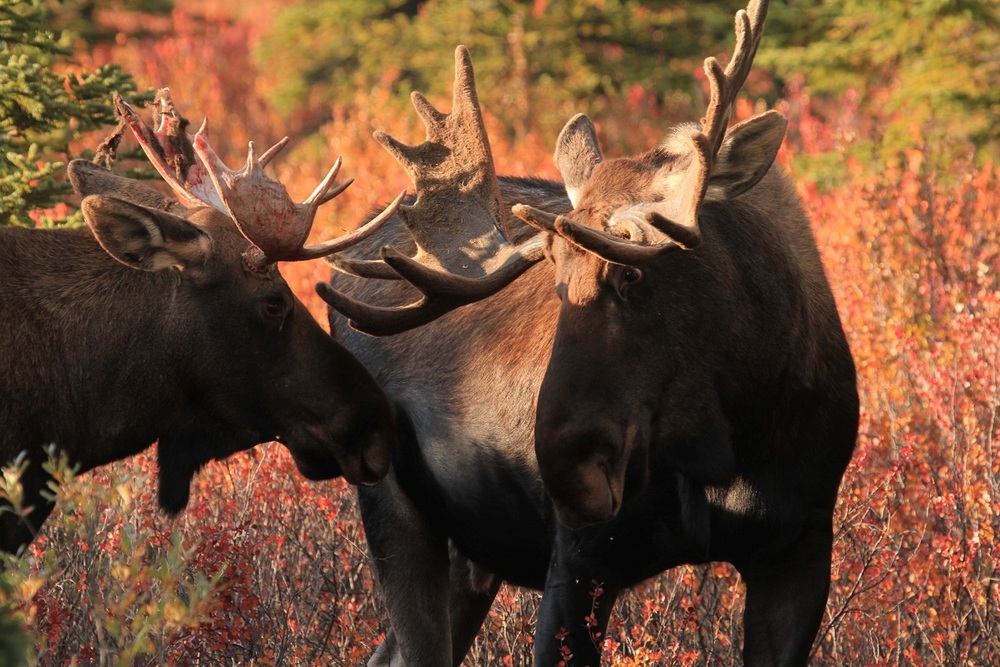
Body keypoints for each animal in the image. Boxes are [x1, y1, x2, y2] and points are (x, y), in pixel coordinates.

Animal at [322, 1, 860, 667]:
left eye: (631, 269)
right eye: (554, 274)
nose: (567, 474)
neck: (734, 438)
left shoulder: (801, 545)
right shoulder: (579, 561)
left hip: (472, 554)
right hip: (391, 505)